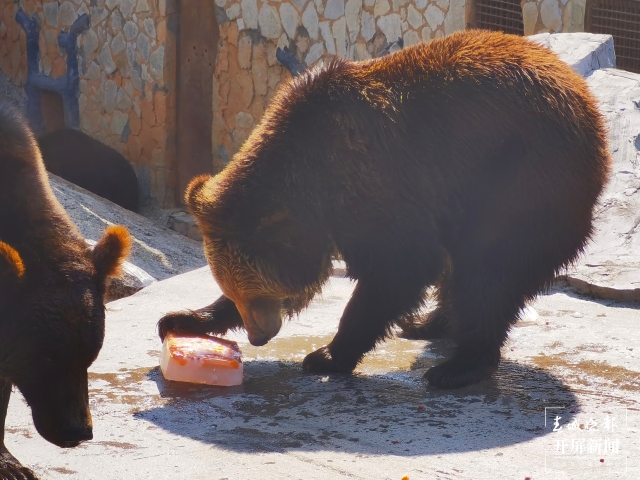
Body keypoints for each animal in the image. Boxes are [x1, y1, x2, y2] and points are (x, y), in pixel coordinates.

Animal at [158, 29, 612, 390]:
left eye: (258, 294)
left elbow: (401, 265)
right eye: (238, 294)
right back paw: (429, 323)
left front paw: (326, 355)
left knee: (488, 265)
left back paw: (457, 365)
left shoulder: (374, 182)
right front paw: (184, 317)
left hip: (523, 176)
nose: (258, 336)